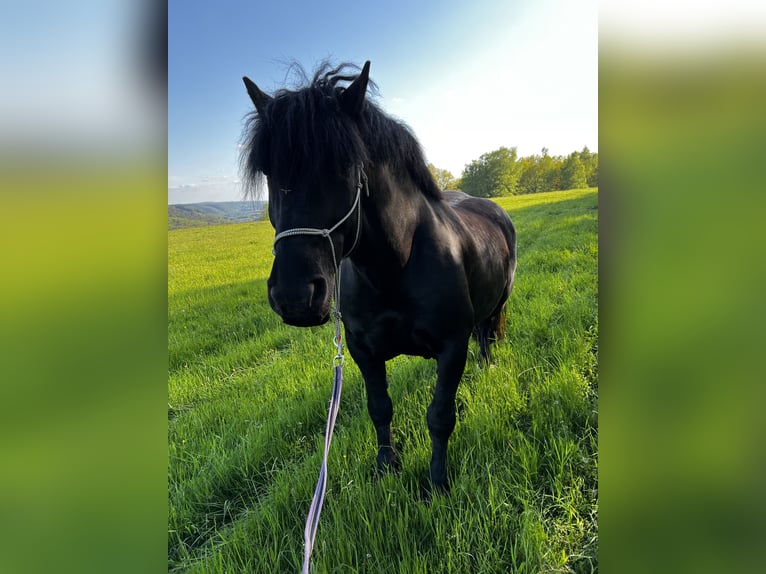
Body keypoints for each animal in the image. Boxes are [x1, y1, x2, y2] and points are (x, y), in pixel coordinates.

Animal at [240, 61, 516, 492]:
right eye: (270, 171)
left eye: (344, 166)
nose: (295, 296)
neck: (394, 267)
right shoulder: (362, 350)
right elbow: (379, 408)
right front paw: (387, 466)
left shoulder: (453, 346)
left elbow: (440, 416)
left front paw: (438, 482)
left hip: (497, 304)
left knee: (487, 336)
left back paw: (487, 369)